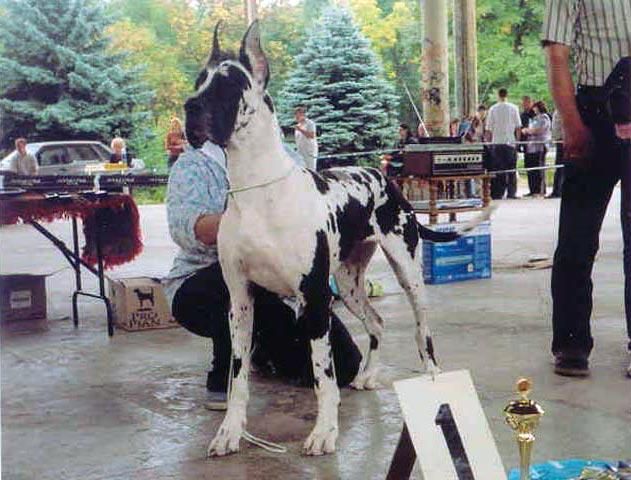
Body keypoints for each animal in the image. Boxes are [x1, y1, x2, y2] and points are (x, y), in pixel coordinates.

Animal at [184, 22, 493, 457]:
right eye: (199, 81)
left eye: (228, 85)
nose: (189, 108)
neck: (257, 191)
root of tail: (386, 177)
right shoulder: (240, 302)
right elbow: (238, 377)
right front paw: (230, 431)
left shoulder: (315, 301)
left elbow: (323, 377)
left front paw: (324, 431)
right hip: (347, 284)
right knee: (377, 321)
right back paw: (366, 376)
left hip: (408, 273)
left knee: (422, 332)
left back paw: (433, 380)